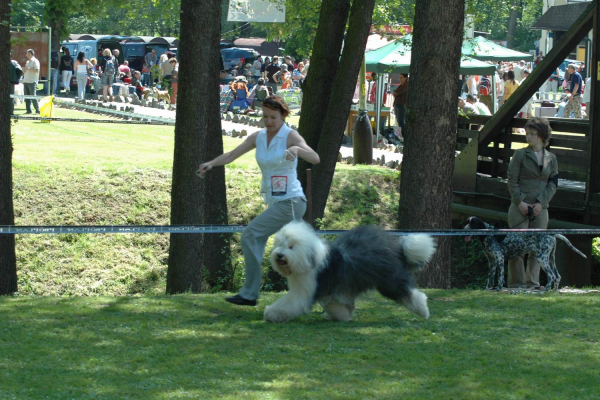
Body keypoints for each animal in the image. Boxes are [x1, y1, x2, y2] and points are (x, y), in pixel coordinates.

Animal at [264, 220, 438, 324]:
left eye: (291, 246)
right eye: (280, 244)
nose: (279, 255)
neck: (307, 257)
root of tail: (397, 247)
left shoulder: (305, 289)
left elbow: (290, 302)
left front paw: (271, 314)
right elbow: (335, 304)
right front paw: (342, 316)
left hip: (389, 281)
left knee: (409, 294)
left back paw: (424, 311)